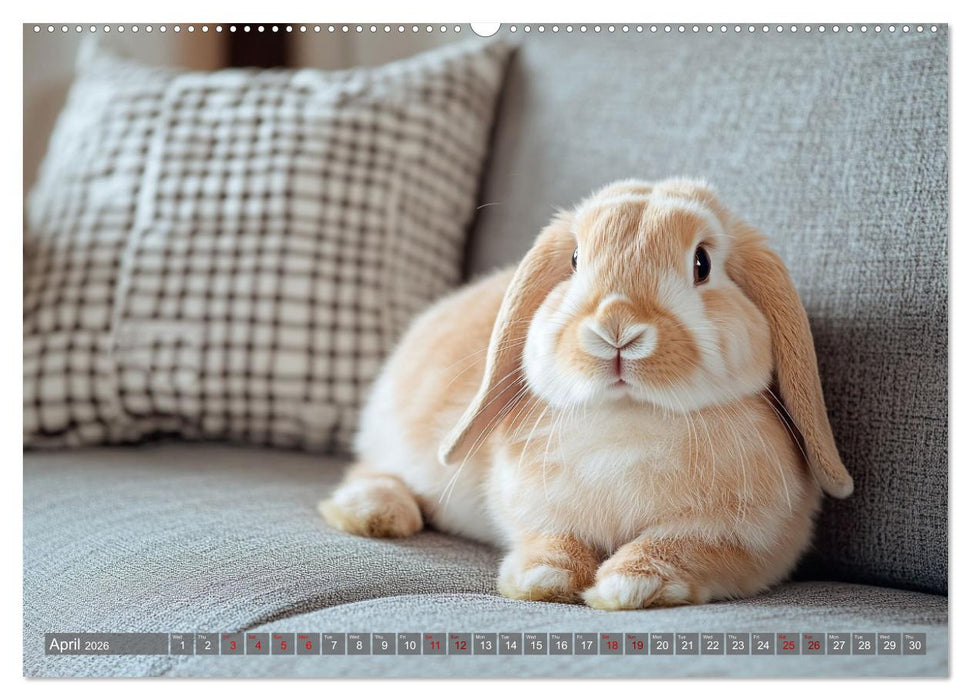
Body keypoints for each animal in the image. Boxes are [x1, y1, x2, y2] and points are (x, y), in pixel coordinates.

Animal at [319, 178, 853, 610]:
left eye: (702, 263)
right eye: (575, 260)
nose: (616, 327)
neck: (628, 418)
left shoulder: (746, 539)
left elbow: (678, 545)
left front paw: (629, 586)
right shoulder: (533, 509)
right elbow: (552, 538)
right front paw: (542, 579)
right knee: (373, 467)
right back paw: (373, 513)